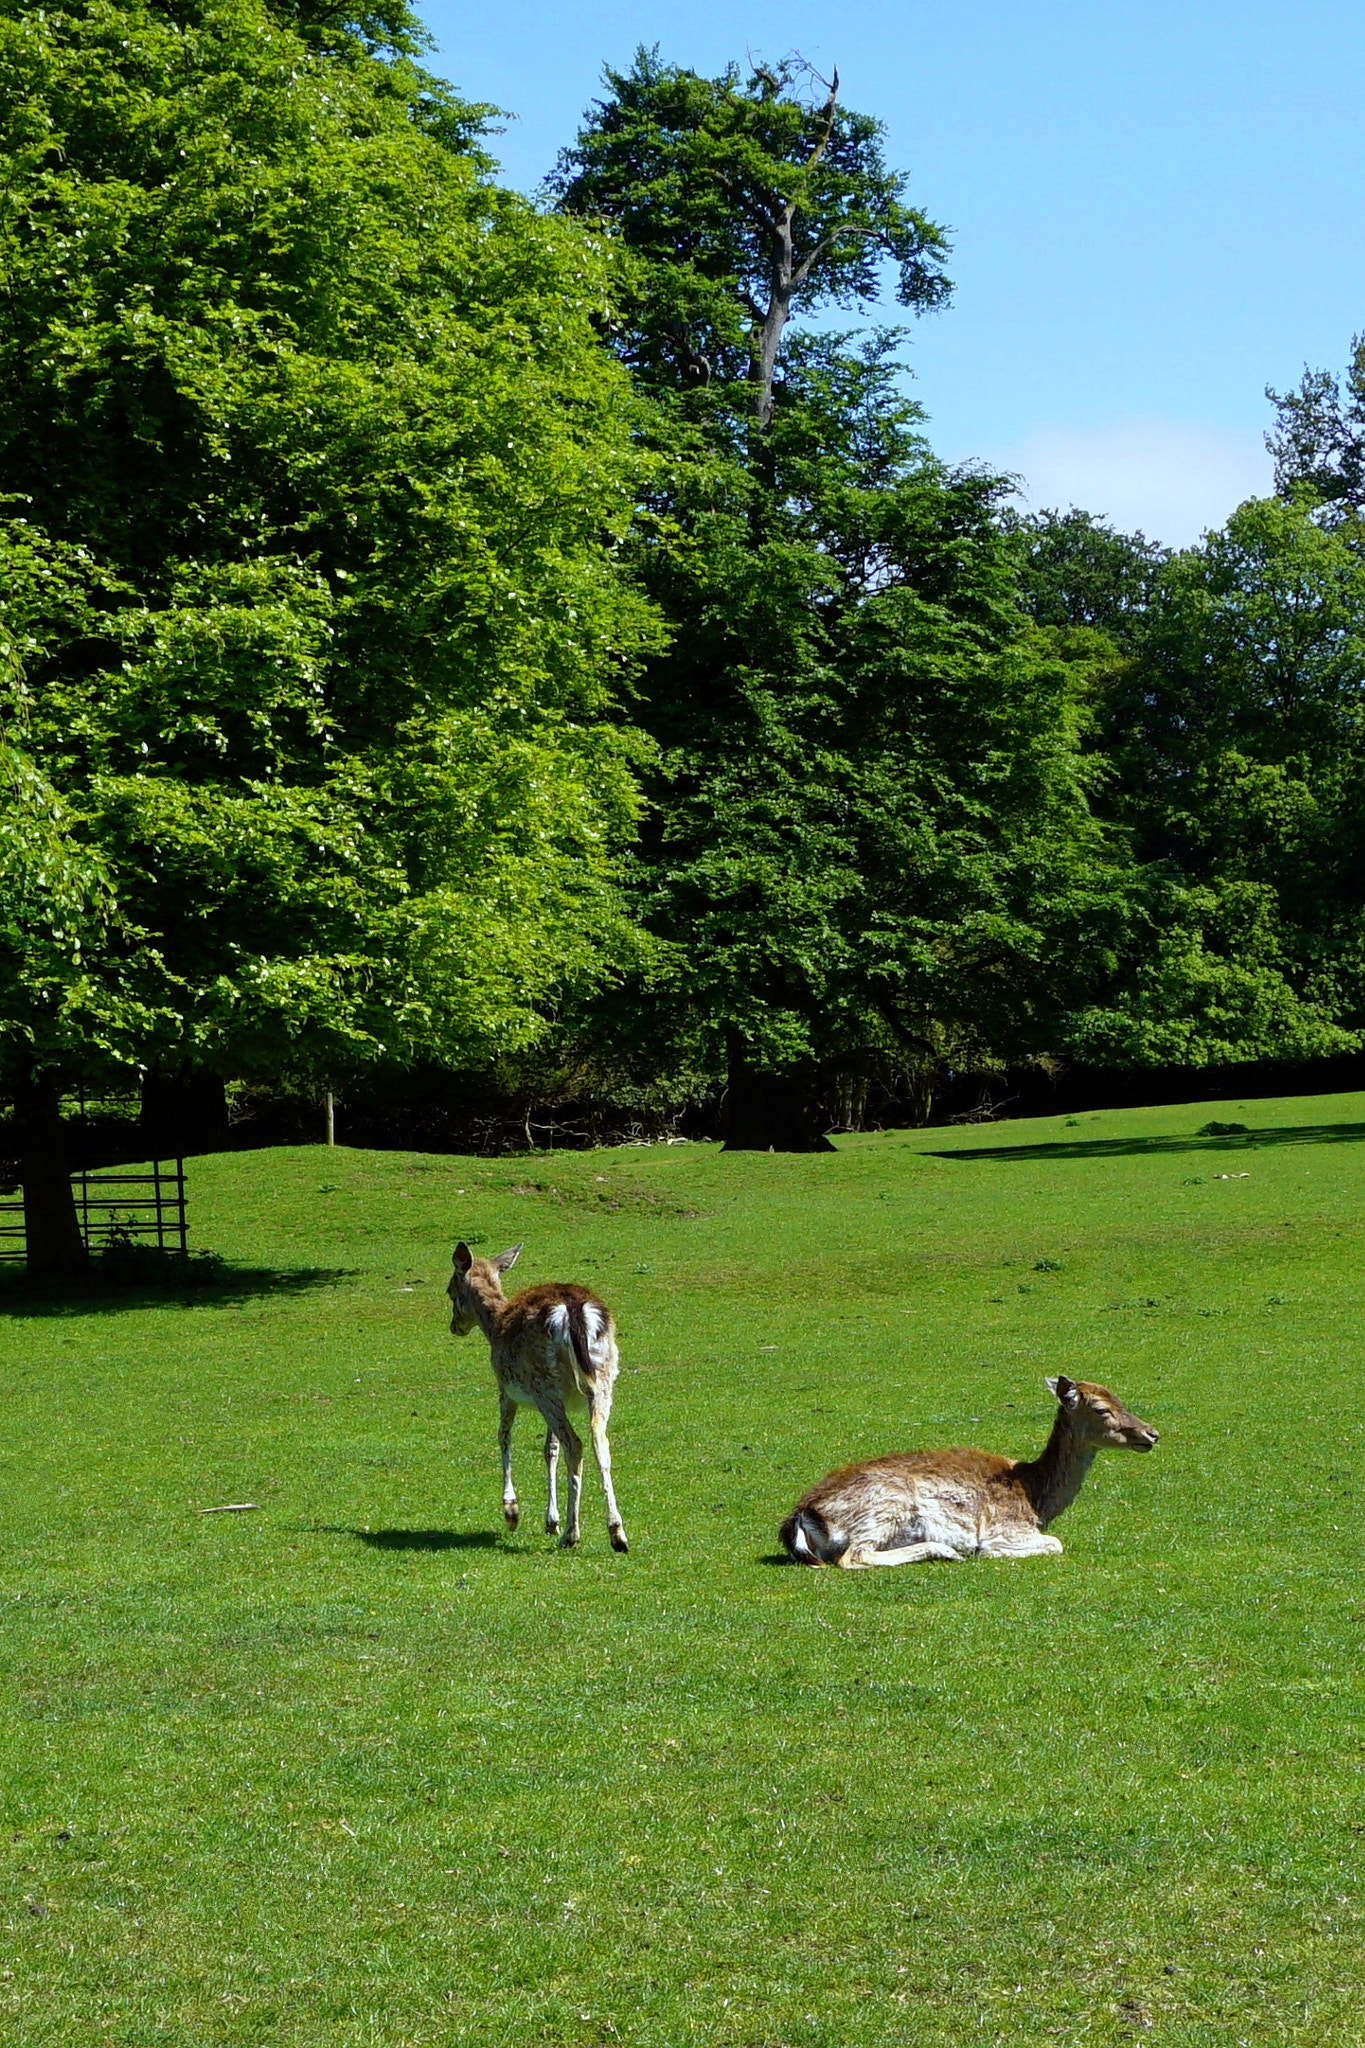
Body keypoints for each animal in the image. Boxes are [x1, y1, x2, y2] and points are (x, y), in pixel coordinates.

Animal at [447, 1242, 628, 1553]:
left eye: (449, 1290)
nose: (454, 1326)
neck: (495, 1325)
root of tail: (573, 1309)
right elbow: (549, 1448)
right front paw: (550, 1521)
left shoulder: (505, 1386)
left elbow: (504, 1435)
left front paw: (511, 1512)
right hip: (601, 1378)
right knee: (598, 1441)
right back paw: (617, 1534)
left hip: (543, 1383)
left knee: (574, 1444)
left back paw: (572, 1534)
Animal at [780, 1376, 1157, 1567]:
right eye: (1101, 1409)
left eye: (1120, 1398)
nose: (1152, 1434)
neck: (1036, 1498)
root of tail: (802, 1514)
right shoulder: (1008, 1527)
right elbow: (1054, 1543)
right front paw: (983, 1550)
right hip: (884, 1506)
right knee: (852, 1556)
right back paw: (946, 1550)